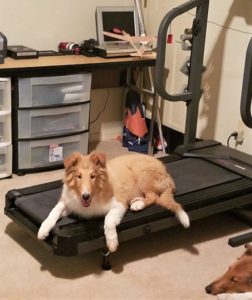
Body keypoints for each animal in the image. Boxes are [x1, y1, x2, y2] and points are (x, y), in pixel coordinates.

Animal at [37, 151, 189, 252]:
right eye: (78, 176)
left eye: (93, 176)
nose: (85, 196)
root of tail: (167, 174)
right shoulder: (69, 202)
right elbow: (53, 211)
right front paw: (43, 230)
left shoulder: (119, 204)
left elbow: (108, 219)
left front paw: (112, 243)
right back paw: (137, 199)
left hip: (143, 175)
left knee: (154, 197)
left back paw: (138, 204)